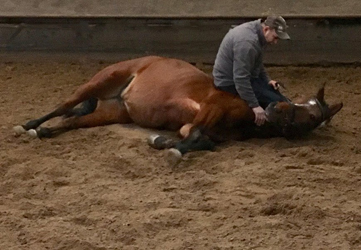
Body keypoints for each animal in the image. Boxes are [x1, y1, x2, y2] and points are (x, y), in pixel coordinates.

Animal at [12, 55, 342, 163]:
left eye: (315, 115)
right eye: (307, 108)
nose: (274, 109)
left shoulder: (212, 131)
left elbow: (202, 140)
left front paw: (163, 141)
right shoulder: (209, 108)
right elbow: (194, 134)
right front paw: (170, 148)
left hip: (113, 111)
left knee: (73, 121)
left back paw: (45, 132)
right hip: (103, 79)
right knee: (65, 105)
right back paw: (28, 125)